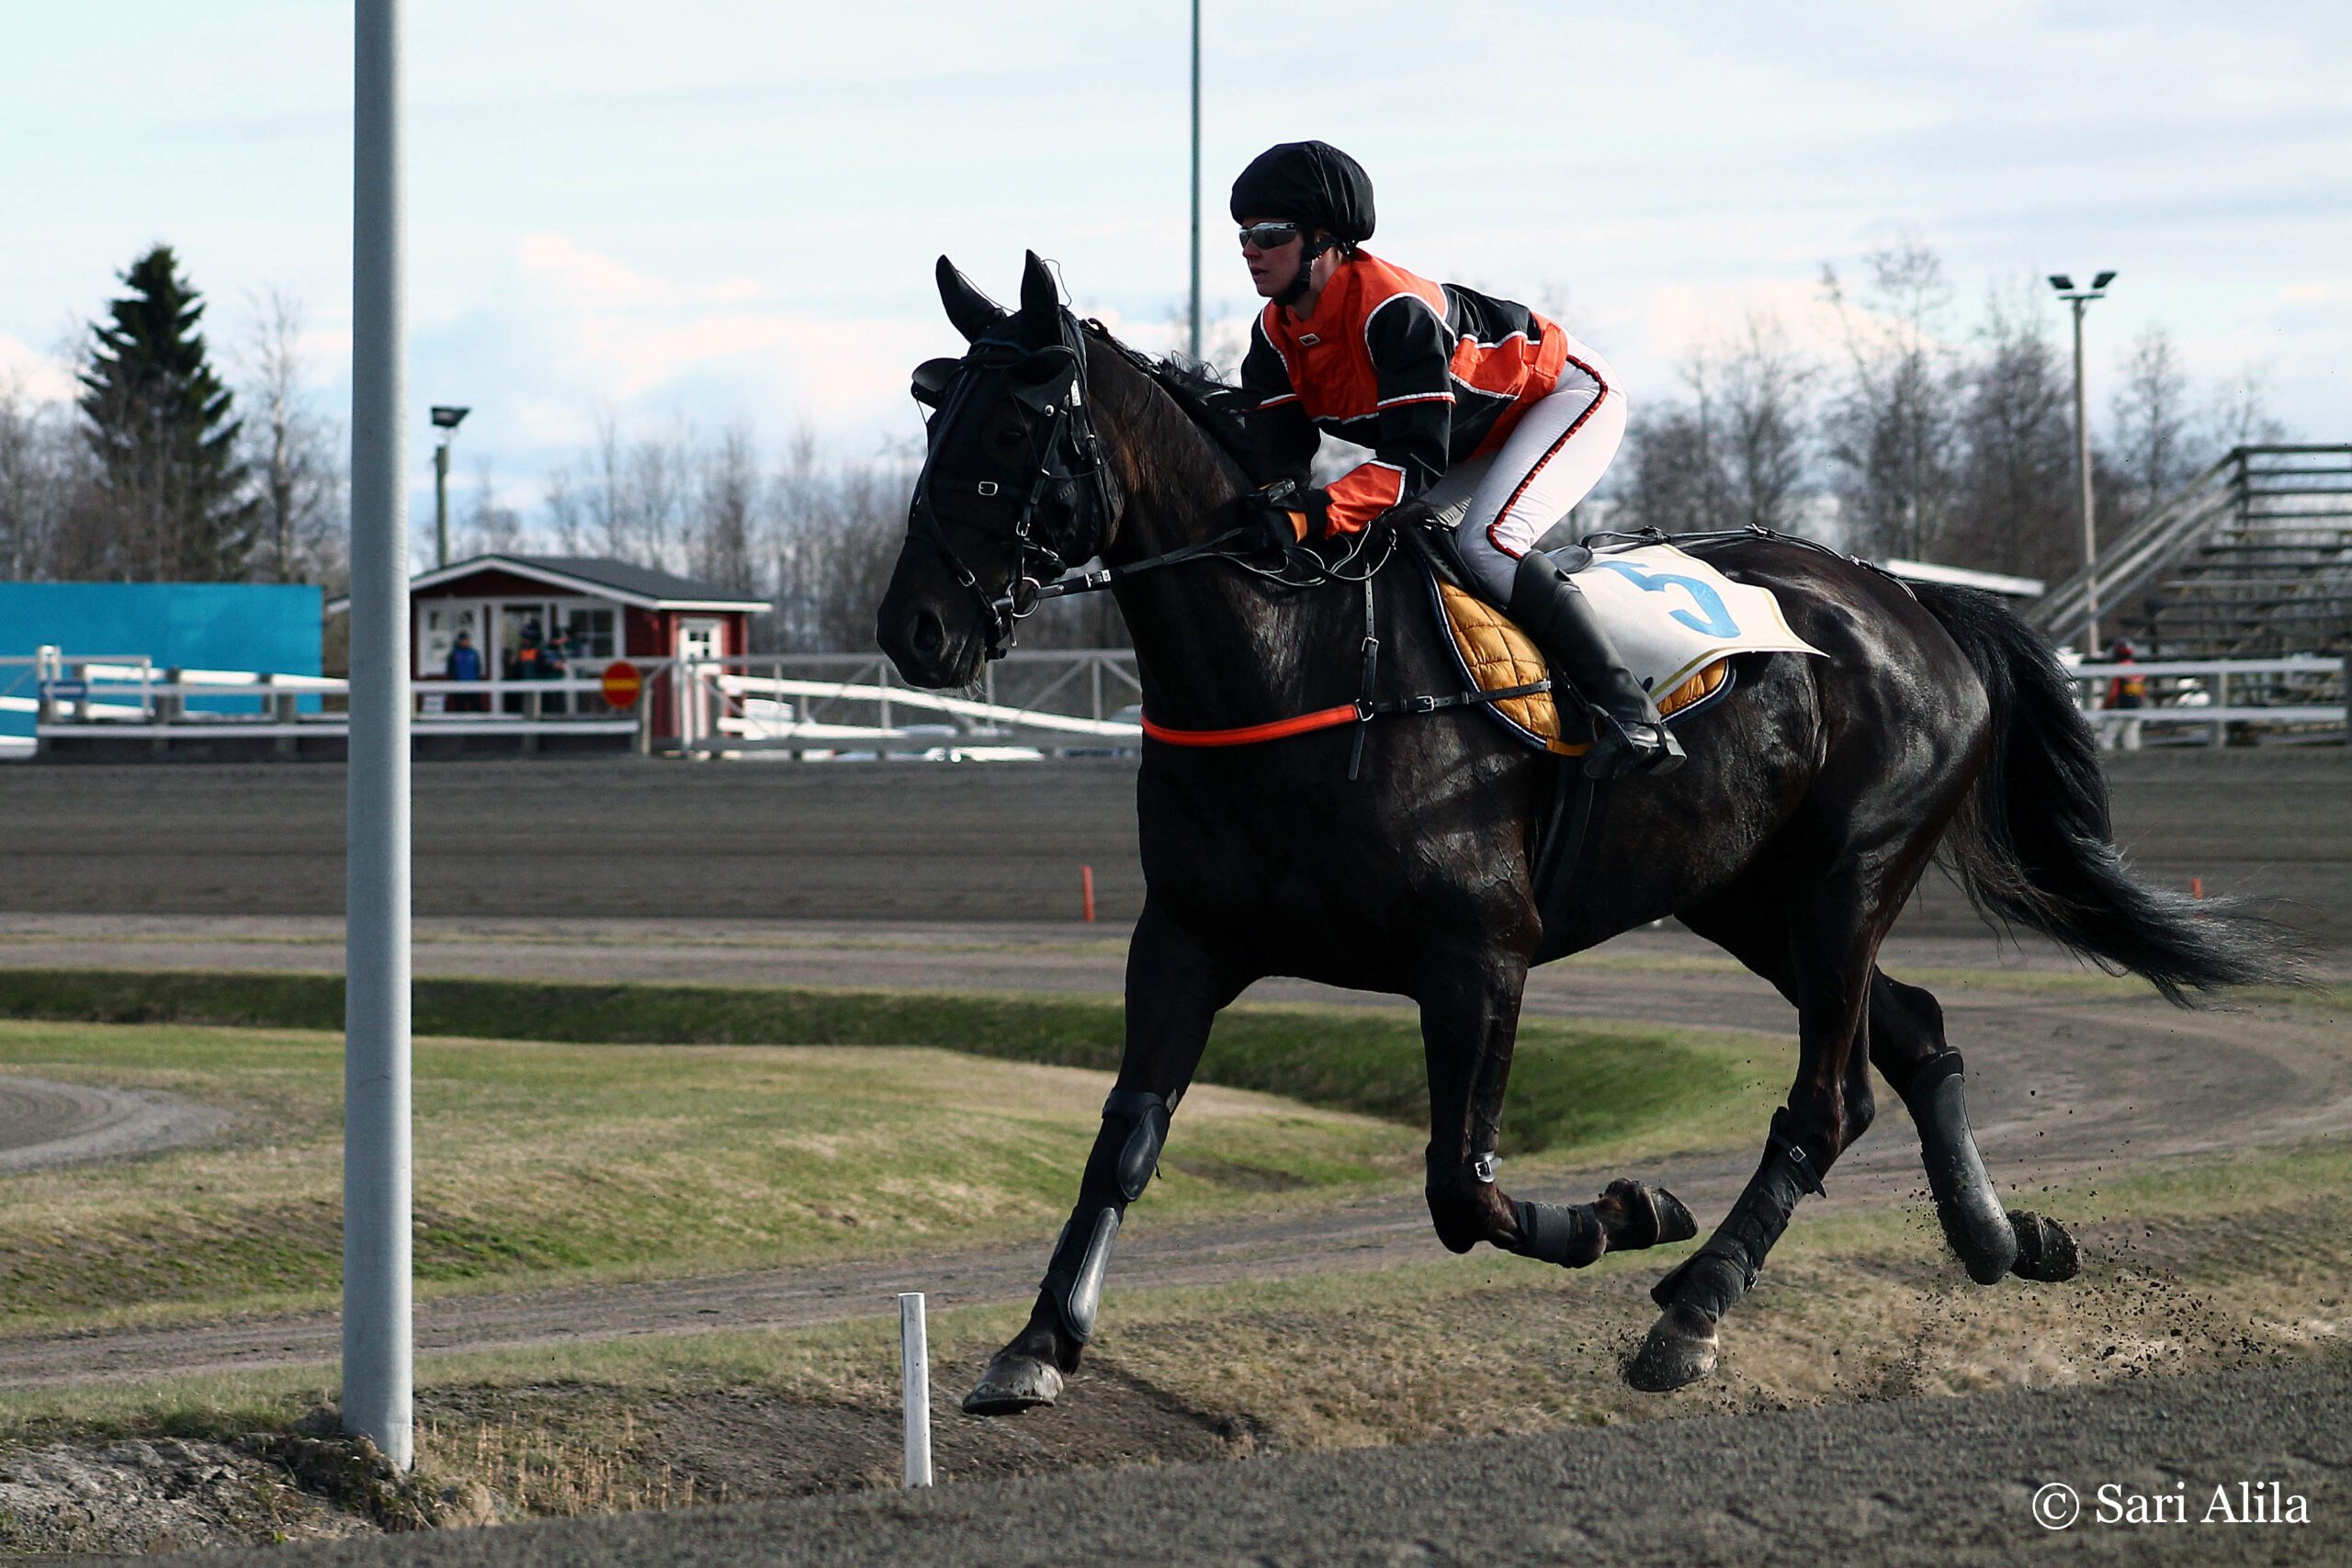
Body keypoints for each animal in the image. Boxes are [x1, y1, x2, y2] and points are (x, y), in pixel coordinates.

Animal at [876, 251, 2292, 1412]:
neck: (1298, 656)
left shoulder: (1478, 954)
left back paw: (1698, 1306)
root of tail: (1915, 601)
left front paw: (1625, 1209)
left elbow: (1461, 1187)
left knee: (1827, 1097)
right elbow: (1124, 1141)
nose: (915, 630)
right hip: (1749, 895)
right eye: (933, 406)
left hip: (1846, 875)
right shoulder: (1185, 937)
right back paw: (2000, 1237)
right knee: (1917, 1037)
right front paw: (1037, 1342)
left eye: (1017, 421)